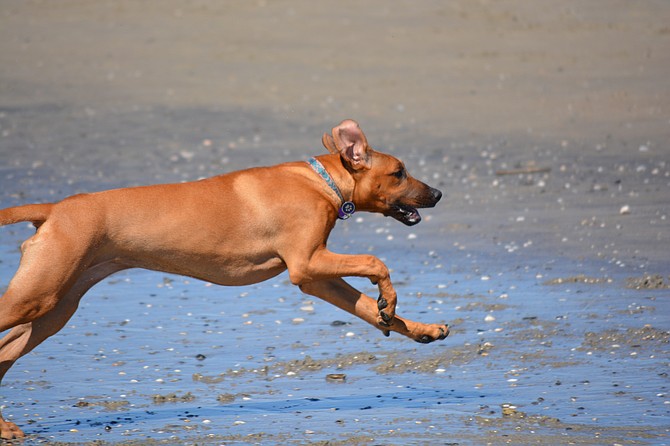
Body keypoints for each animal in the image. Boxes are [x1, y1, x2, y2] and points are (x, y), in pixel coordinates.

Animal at [1, 119, 452, 440]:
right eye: (399, 172)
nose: (438, 194)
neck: (320, 182)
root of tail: (54, 209)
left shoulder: (316, 279)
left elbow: (368, 309)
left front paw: (420, 328)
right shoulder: (308, 263)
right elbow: (376, 262)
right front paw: (390, 298)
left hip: (56, 307)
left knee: (5, 354)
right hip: (36, 297)